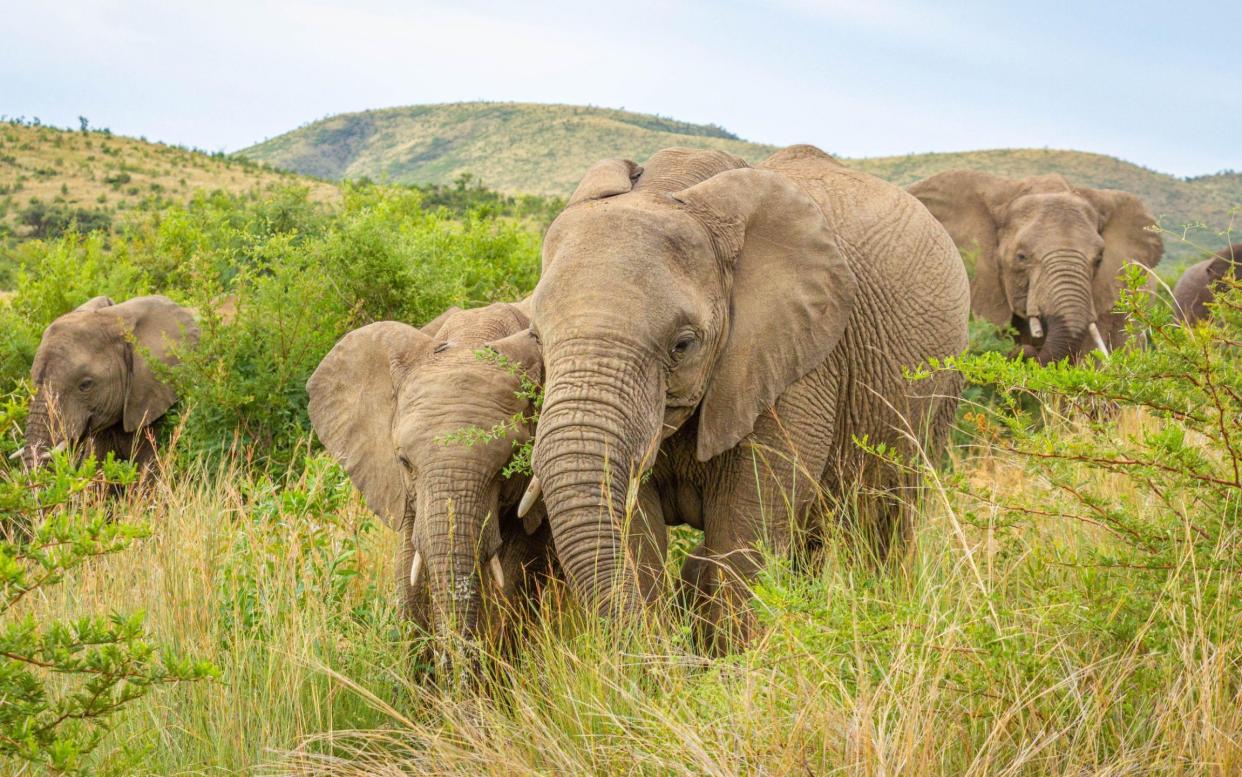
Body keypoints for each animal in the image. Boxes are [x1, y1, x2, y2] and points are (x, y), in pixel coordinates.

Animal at [524, 142, 968, 645]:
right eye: (536, 338)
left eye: (683, 345)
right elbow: (636, 530)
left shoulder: (797, 359)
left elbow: (743, 526)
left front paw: (734, 661)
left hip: (938, 391)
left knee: (889, 519)